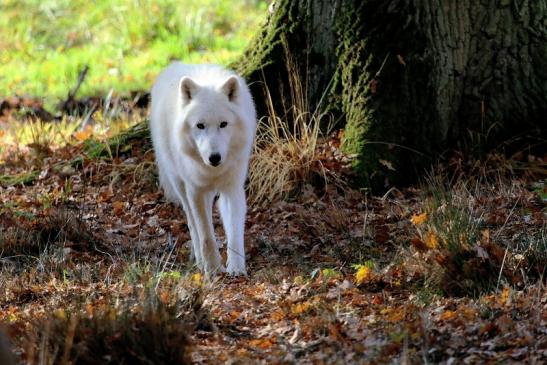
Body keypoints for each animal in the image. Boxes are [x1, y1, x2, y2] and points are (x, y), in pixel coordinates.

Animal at [150, 62, 256, 274]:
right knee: (192, 224)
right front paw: (213, 269)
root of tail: (173, 64)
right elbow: (206, 236)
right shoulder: (195, 191)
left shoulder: (232, 188)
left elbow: (235, 232)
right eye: (200, 125)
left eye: (223, 124)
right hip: (180, 186)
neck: (213, 171)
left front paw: (236, 268)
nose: (214, 157)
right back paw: (200, 261)